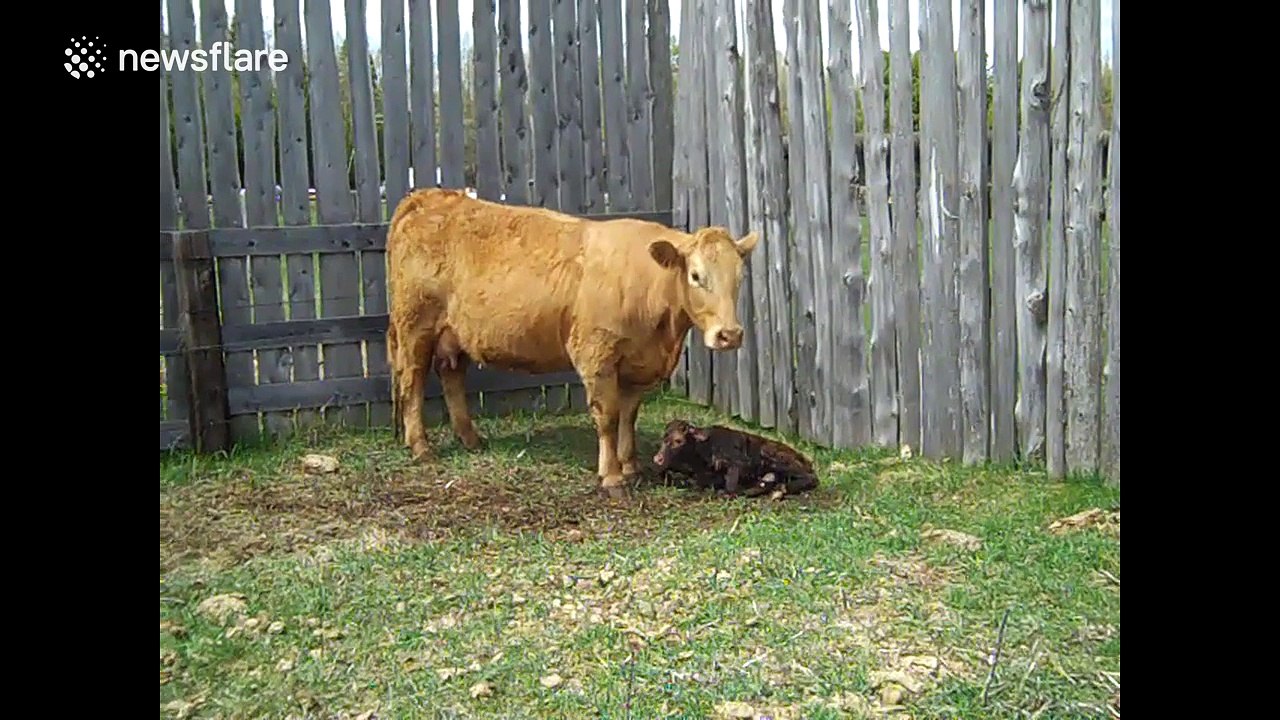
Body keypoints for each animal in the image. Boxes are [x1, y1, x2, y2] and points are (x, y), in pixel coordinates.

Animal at [385, 188, 760, 495]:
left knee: (451, 375)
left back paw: (471, 439)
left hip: (455, 332)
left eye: (740, 278)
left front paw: (631, 467)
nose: (730, 334)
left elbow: (629, 416)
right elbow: (608, 417)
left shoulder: (637, 362)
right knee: (412, 380)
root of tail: (427, 197)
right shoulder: (597, 356)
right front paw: (611, 477)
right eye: (696, 276)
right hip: (414, 326)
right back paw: (420, 447)